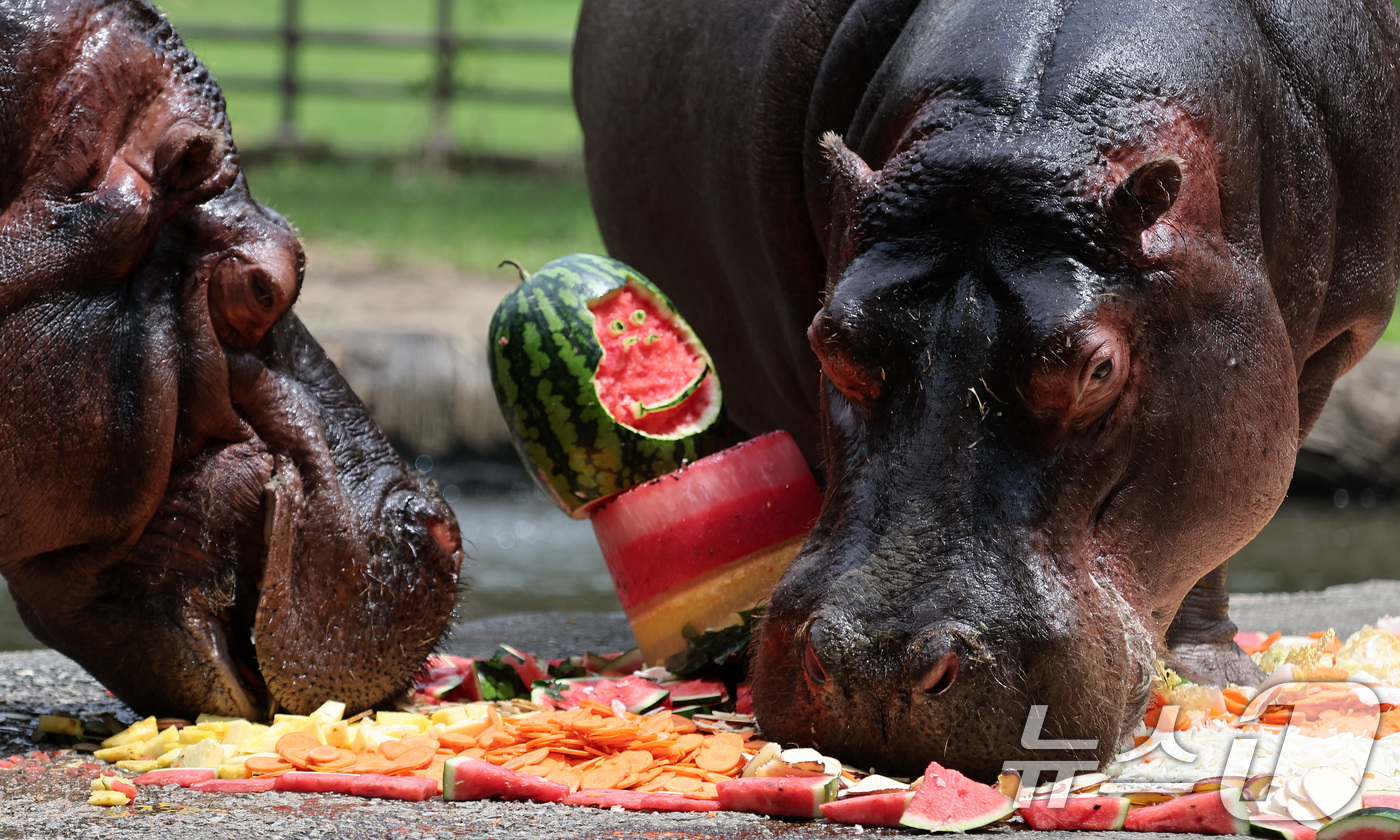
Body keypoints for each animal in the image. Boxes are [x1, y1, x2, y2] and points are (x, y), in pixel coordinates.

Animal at [571, 0, 1400, 778]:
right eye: (828, 341)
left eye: (1099, 370)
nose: (878, 666)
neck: (1016, 141)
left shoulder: (1321, 349)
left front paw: (1213, 673)